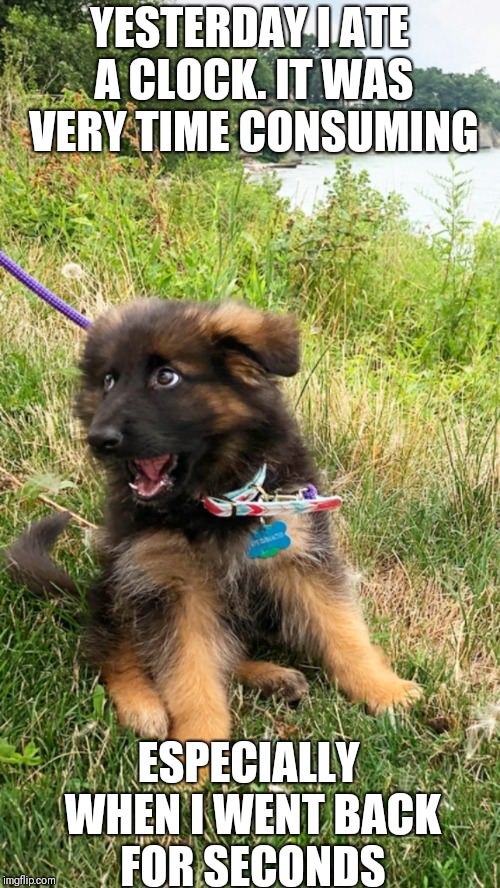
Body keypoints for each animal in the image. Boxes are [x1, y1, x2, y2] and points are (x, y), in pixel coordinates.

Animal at [7, 299, 421, 742]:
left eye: (166, 377)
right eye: (108, 381)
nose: (99, 439)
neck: (215, 499)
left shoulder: (301, 558)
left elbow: (342, 629)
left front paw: (384, 689)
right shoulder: (173, 586)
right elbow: (190, 676)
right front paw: (198, 745)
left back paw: (272, 677)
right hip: (122, 579)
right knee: (109, 646)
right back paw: (141, 702)